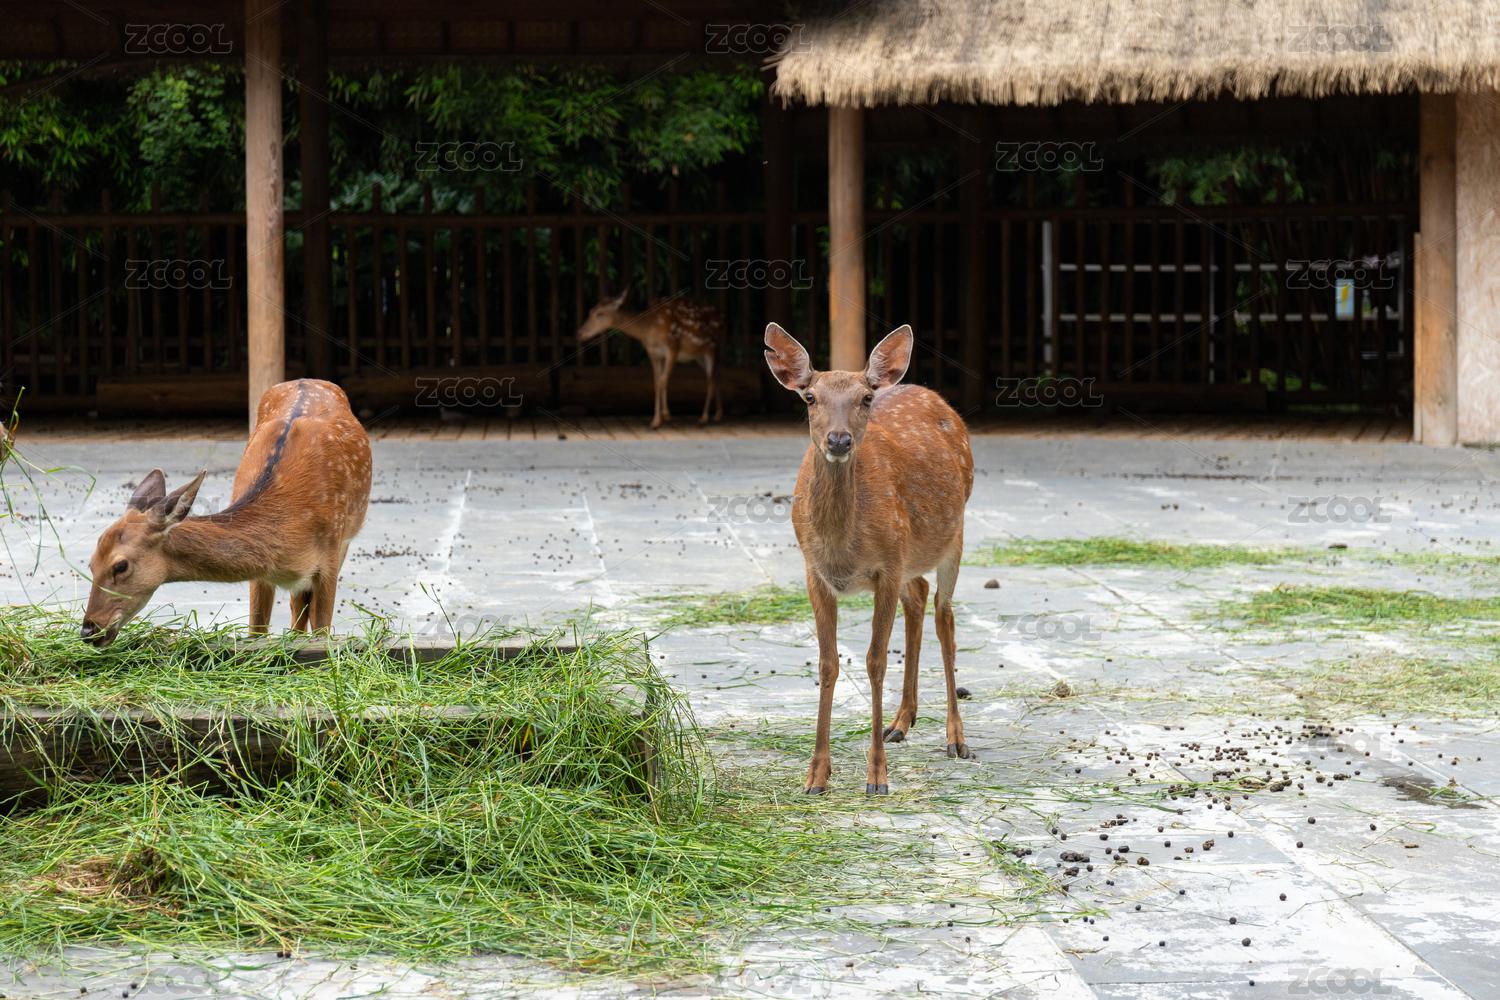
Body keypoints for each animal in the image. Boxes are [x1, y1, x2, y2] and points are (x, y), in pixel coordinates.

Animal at [80, 379, 372, 647]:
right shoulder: (262, 575)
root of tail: (306, 380)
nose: (88, 629)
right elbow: (257, 633)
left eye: (120, 565)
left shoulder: (330, 554)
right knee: (296, 607)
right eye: (90, 564)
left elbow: (321, 631)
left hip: (345, 539)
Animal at [576, 290, 725, 429]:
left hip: (712, 345)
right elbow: (656, 382)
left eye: (600, 313)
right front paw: (655, 421)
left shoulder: (673, 346)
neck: (650, 329)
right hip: (699, 355)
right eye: (590, 311)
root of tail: (720, 313)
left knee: (710, 378)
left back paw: (705, 418)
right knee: (715, 375)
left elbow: (663, 380)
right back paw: (717, 416)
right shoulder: (653, 353)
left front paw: (666, 415)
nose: (579, 333)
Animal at [763, 322, 975, 796]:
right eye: (810, 397)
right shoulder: (814, 573)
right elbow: (827, 664)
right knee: (919, 595)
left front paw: (876, 777)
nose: (839, 439)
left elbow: (875, 661)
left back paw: (956, 738)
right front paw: (816, 775)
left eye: (864, 398)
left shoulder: (887, 565)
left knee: (944, 616)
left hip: (953, 532)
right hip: (912, 555)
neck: (843, 547)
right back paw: (900, 722)